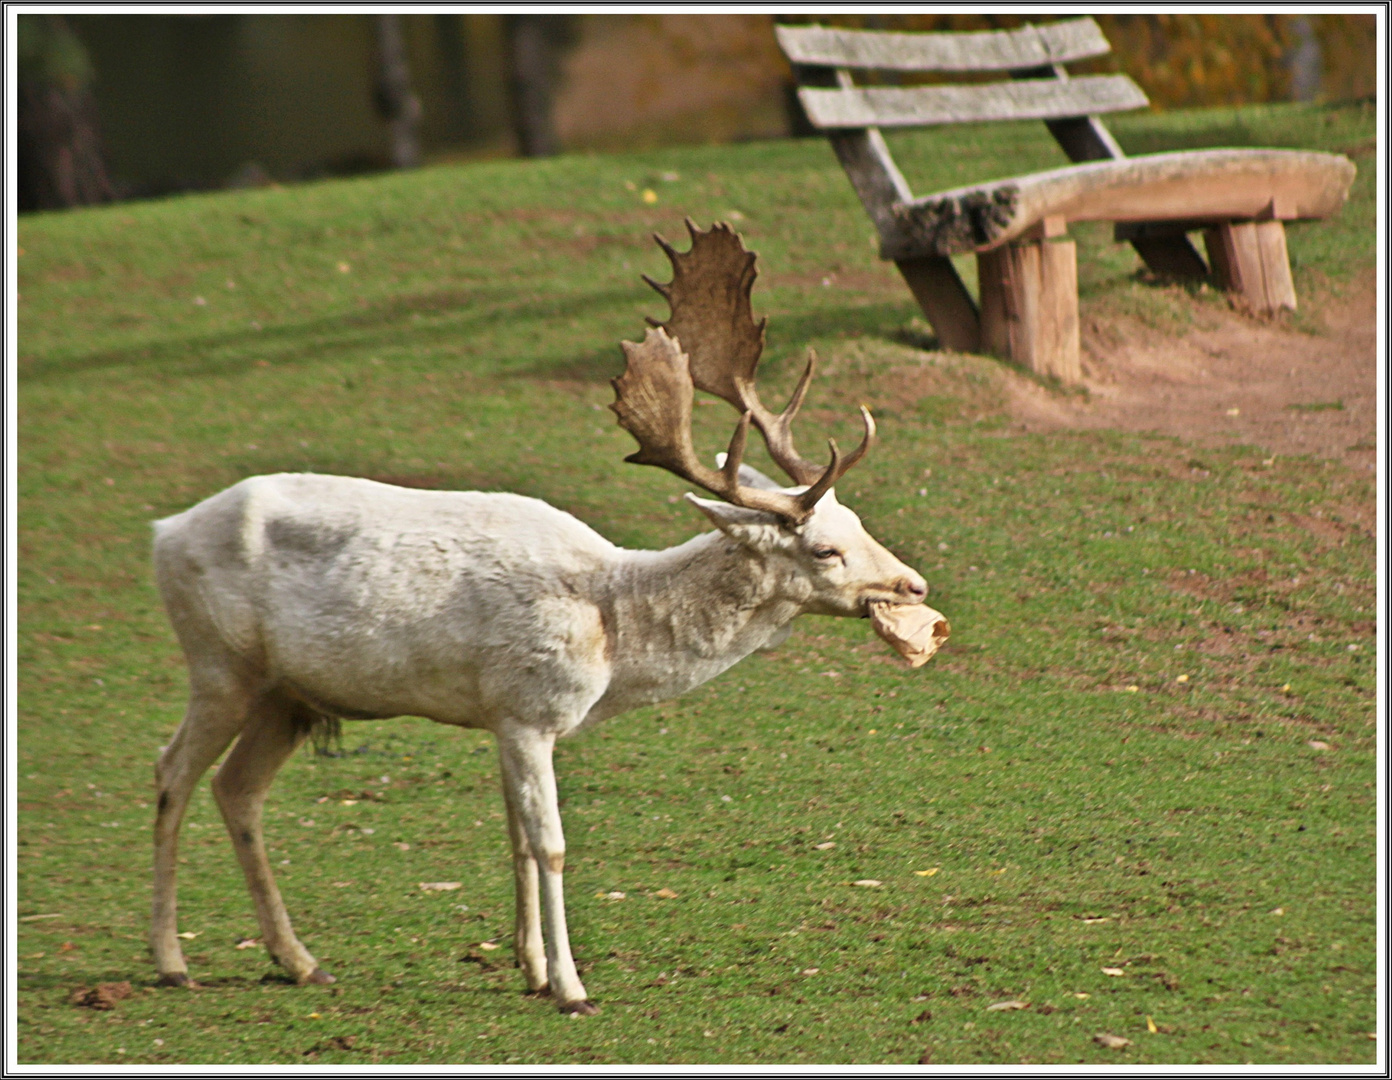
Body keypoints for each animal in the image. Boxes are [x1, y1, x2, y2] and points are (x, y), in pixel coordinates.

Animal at [149, 219, 924, 1013]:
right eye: (826, 549)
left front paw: (531, 968)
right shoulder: (528, 710)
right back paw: (173, 961)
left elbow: (517, 838)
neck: (611, 631)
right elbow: (550, 843)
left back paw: (300, 961)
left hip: (289, 696)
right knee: (171, 771)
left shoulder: (499, 712)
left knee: (237, 789)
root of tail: (163, 531)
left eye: (859, 521)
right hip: (219, 662)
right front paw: (572, 987)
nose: (913, 586)